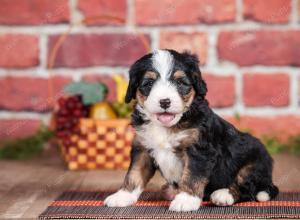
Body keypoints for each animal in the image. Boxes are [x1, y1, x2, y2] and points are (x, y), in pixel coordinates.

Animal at [103, 49, 278, 211]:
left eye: (180, 82)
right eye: (149, 83)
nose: (165, 101)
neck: (168, 127)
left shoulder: (198, 150)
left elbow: (192, 176)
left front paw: (185, 201)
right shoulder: (143, 148)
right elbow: (134, 173)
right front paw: (122, 196)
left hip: (253, 163)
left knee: (247, 188)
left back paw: (223, 195)